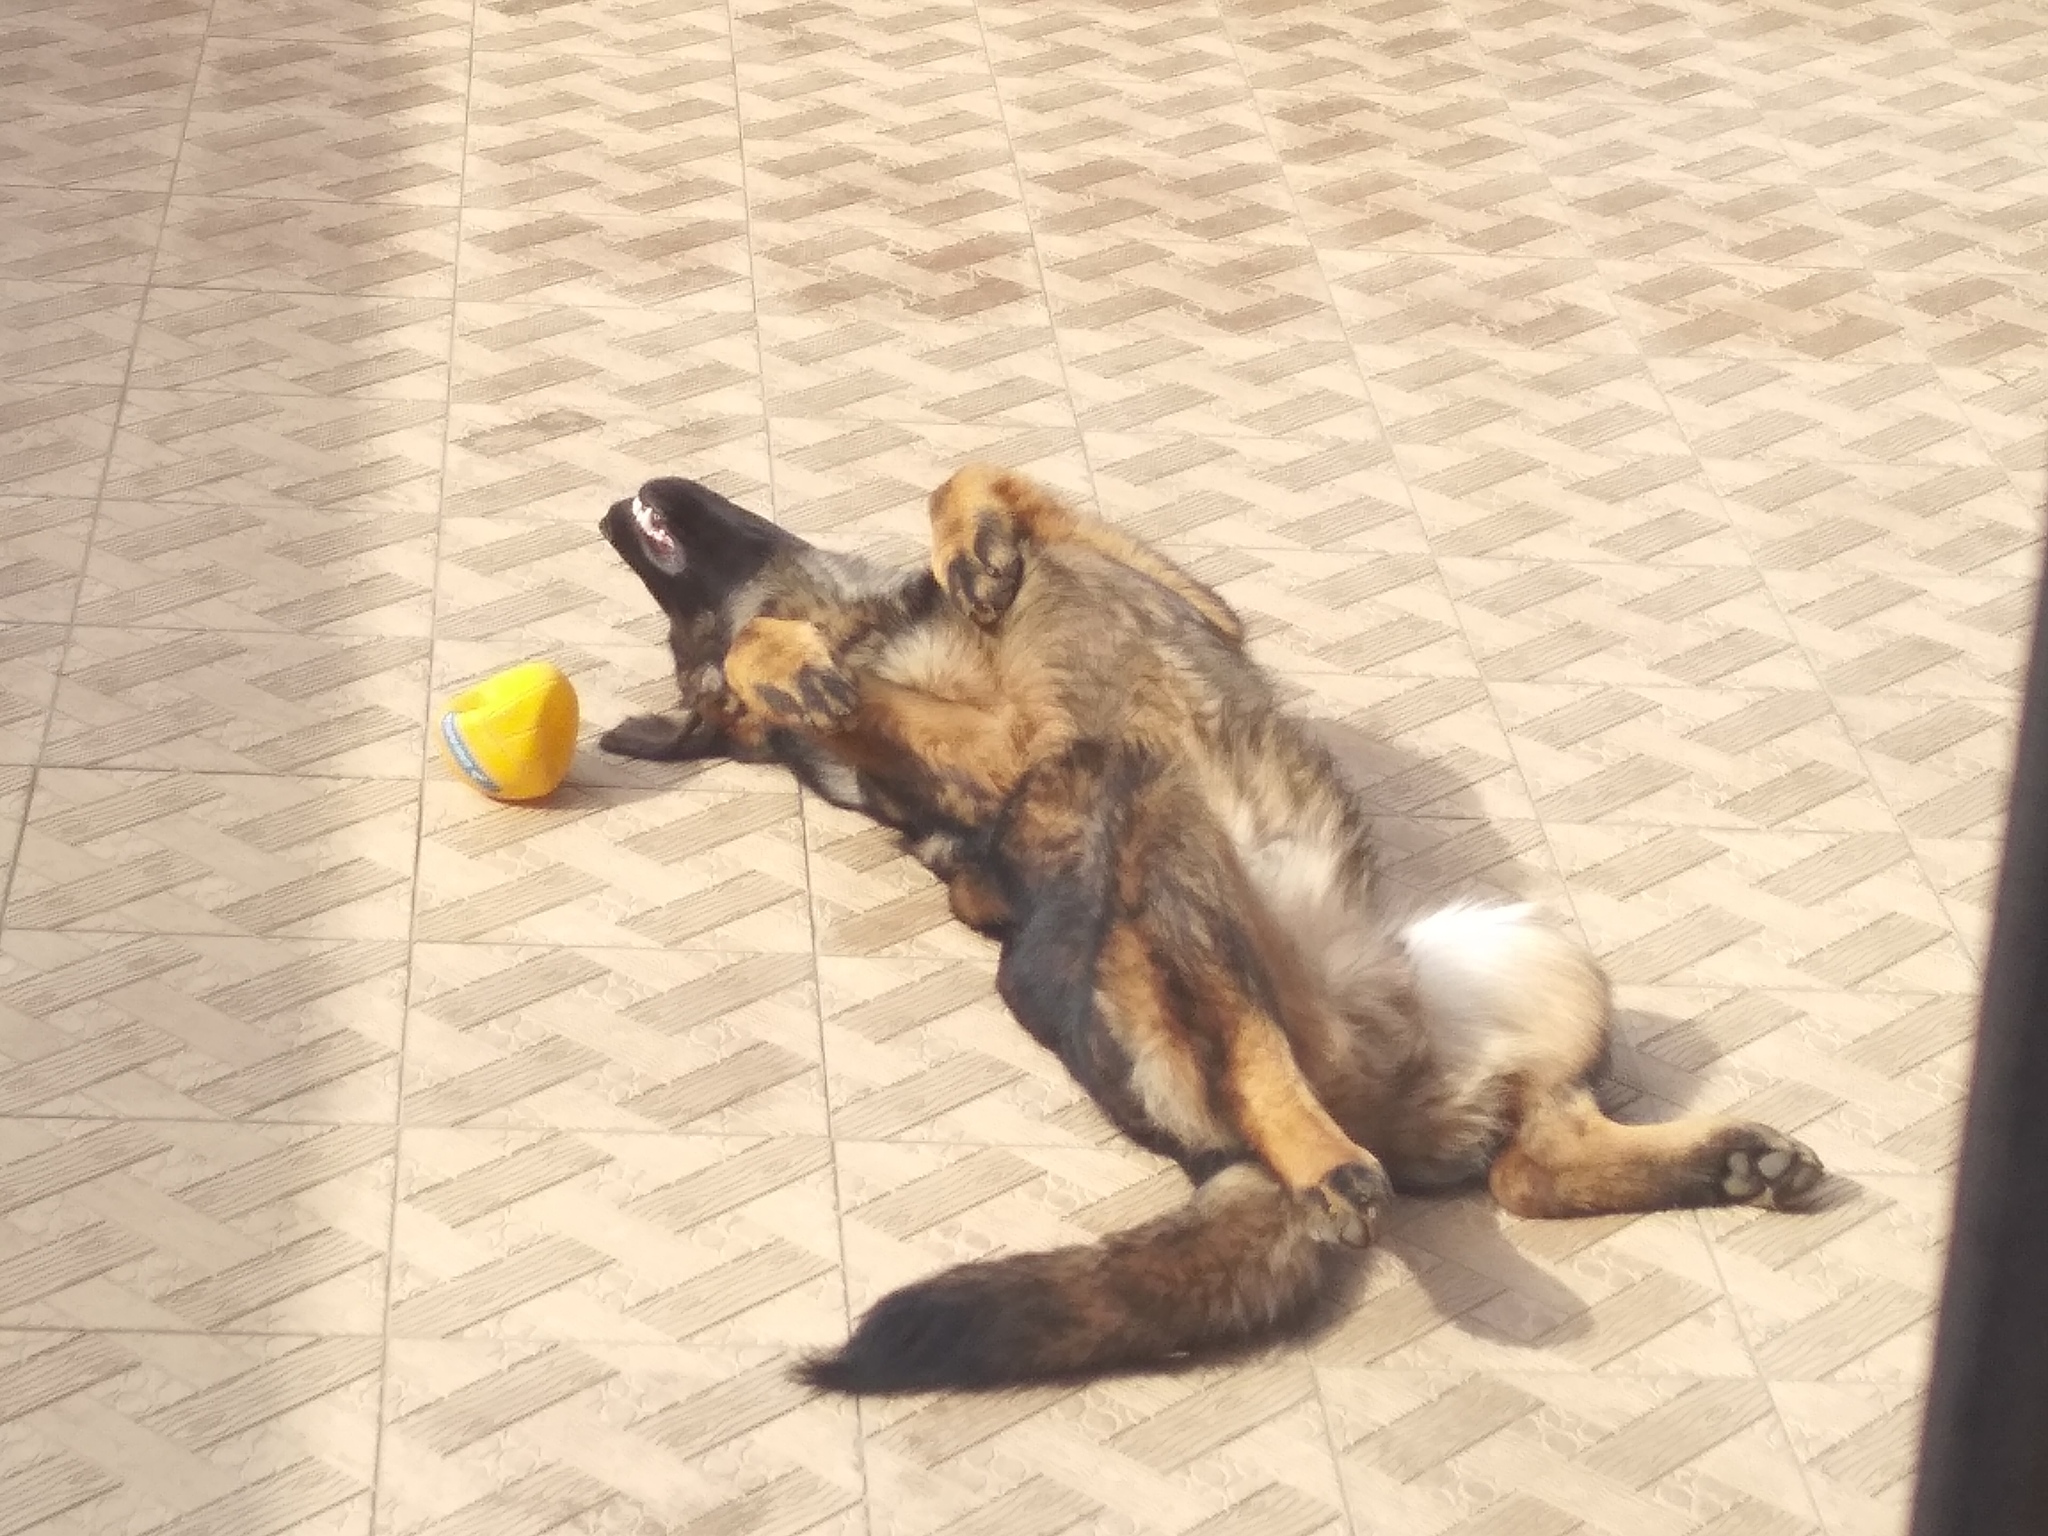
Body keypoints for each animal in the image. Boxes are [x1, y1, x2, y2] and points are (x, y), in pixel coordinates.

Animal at [598, 475, 1826, 1400]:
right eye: (688, 640)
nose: (614, 515)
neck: (866, 621)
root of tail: (1225, 1158)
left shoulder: (1183, 595)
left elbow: (981, 479)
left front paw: (971, 545)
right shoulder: (999, 746)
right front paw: (789, 660)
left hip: (1544, 958)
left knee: (1528, 1168)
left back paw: (1726, 1160)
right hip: (1146, 812)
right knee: (1260, 1054)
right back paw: (1328, 1163)